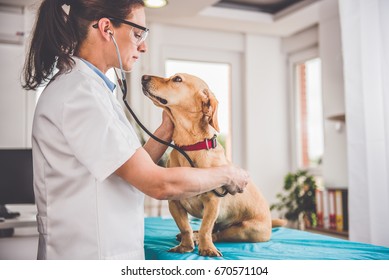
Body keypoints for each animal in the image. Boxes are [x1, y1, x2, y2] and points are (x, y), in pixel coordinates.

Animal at [141, 73, 284, 258]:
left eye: (177, 79)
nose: (143, 77)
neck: (190, 147)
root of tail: (269, 220)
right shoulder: (174, 203)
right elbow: (185, 227)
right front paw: (185, 246)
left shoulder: (212, 202)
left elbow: (206, 228)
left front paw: (206, 248)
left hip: (246, 230)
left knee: (218, 233)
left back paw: (201, 239)